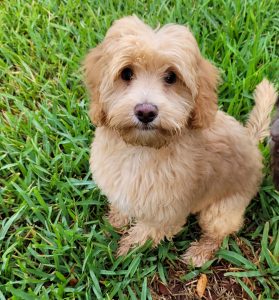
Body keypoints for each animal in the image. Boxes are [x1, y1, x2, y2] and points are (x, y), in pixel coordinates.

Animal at [84, 15, 278, 268]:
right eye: (126, 73)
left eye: (171, 77)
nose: (146, 111)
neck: (142, 148)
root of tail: (251, 142)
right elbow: (121, 207)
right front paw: (115, 221)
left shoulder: (166, 212)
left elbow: (145, 233)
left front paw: (124, 252)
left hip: (222, 210)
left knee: (220, 232)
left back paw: (200, 253)